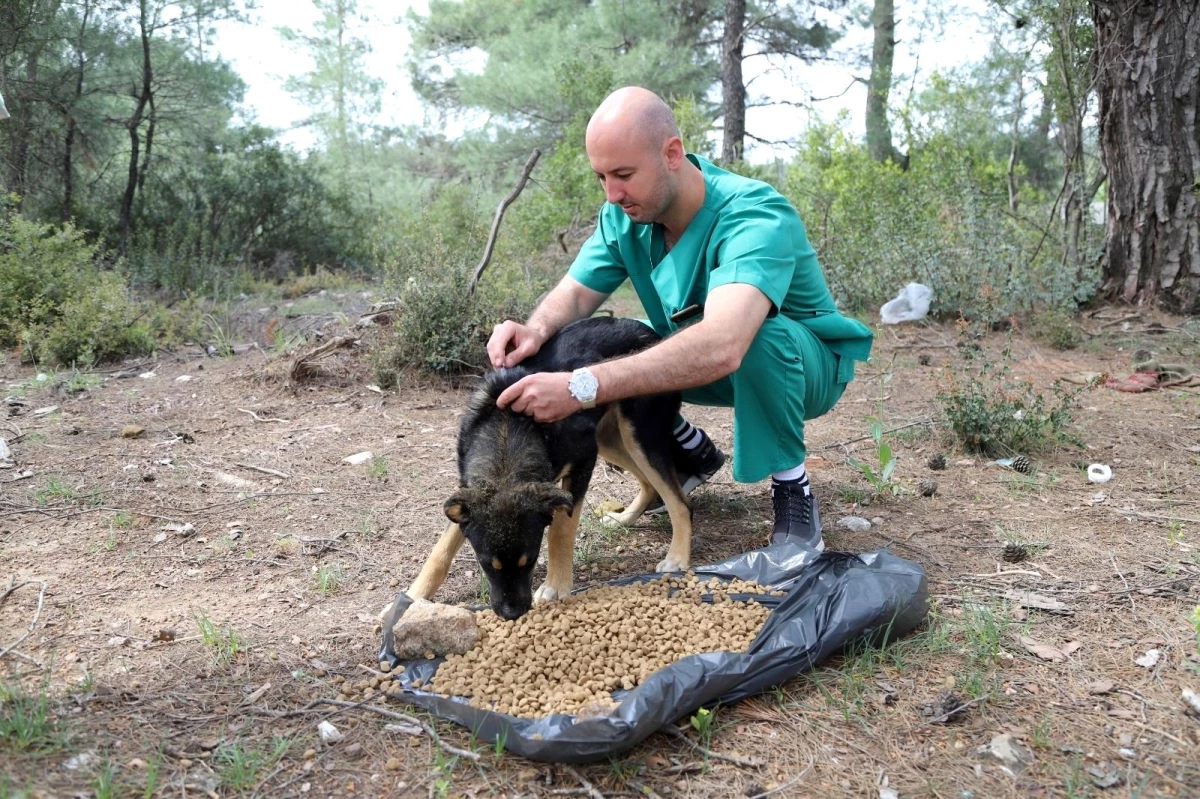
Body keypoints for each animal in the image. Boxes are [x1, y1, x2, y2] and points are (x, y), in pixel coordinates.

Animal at [393, 314, 696, 619]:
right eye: (486, 564)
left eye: (531, 560)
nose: (512, 614)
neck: (508, 430)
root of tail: (651, 333)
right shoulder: (469, 492)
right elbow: (441, 550)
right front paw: (412, 597)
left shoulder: (583, 461)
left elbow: (562, 527)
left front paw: (555, 585)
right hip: (610, 438)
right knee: (649, 485)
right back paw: (623, 519)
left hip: (639, 435)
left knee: (679, 501)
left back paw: (677, 557)